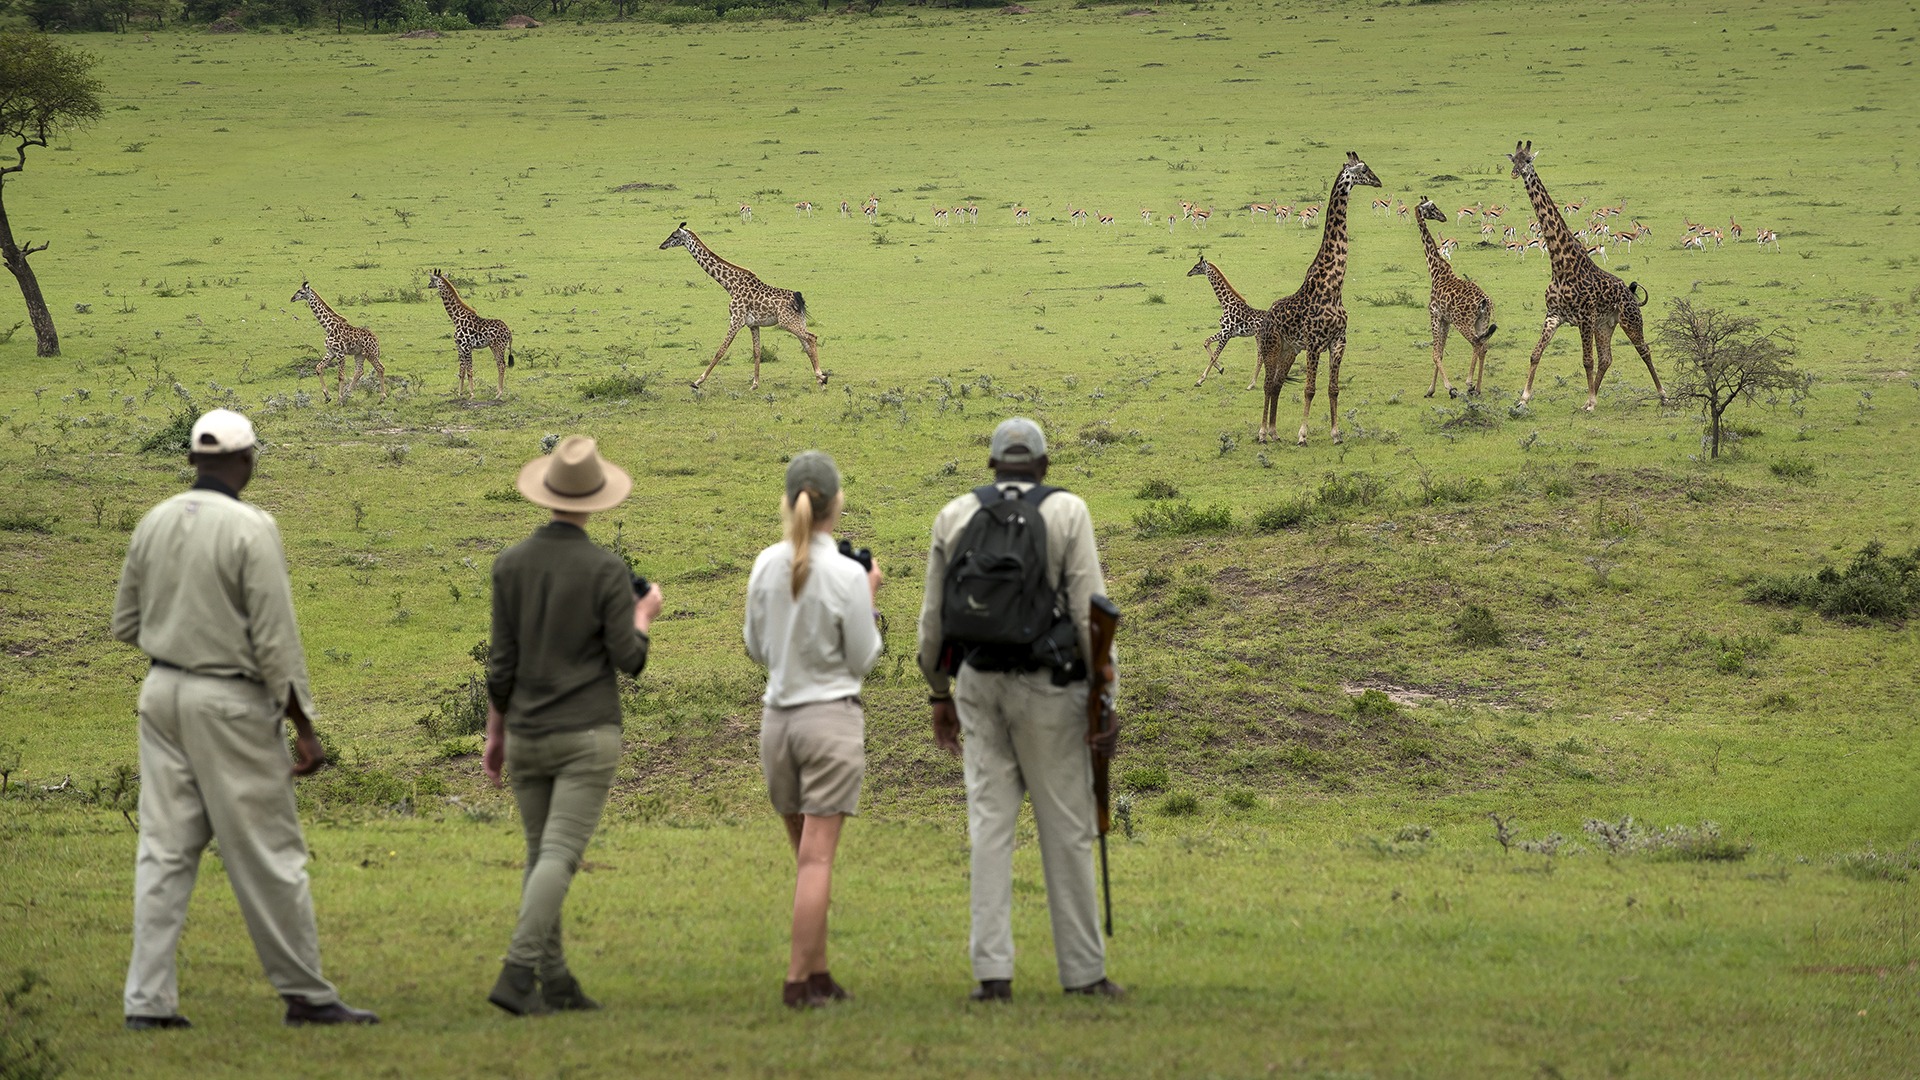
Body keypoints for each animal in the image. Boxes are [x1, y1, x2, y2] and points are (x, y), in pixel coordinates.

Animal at [428, 269, 514, 399]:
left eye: (432, 280)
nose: (428, 285)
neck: (456, 318)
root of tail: (508, 331)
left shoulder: (466, 347)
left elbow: (469, 370)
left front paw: (472, 394)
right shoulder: (459, 347)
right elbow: (461, 370)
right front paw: (460, 393)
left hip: (498, 346)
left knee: (501, 365)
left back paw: (499, 394)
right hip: (493, 346)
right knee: (500, 364)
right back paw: (498, 392)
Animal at [660, 220, 825, 388]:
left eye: (674, 236)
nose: (662, 245)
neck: (730, 285)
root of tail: (798, 297)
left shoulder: (736, 319)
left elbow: (721, 350)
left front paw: (698, 381)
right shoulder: (753, 324)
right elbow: (757, 352)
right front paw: (755, 384)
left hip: (787, 322)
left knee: (812, 338)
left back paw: (821, 376)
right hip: (798, 320)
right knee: (807, 344)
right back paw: (820, 379)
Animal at [1190, 251, 1267, 386]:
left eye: (1197, 267)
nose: (1188, 273)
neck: (1226, 303)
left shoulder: (1226, 333)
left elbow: (1215, 355)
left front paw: (1200, 380)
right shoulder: (1225, 331)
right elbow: (1206, 342)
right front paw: (1220, 369)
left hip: (1259, 336)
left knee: (1260, 356)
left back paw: (1252, 384)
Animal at [1413, 195, 1497, 397]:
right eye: (1432, 207)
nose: (1443, 217)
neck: (1435, 271)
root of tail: (1485, 301)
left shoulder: (1435, 315)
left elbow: (1435, 353)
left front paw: (1450, 388)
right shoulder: (1445, 320)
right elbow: (1441, 353)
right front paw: (1430, 390)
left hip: (1463, 322)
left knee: (1476, 343)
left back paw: (1469, 383)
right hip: (1482, 321)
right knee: (1484, 345)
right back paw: (1478, 388)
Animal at [1505, 141, 1674, 409]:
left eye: (1529, 160)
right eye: (1514, 160)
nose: (1515, 173)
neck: (1561, 265)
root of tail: (1631, 293)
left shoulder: (1584, 317)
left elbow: (1587, 360)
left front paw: (1592, 401)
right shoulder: (1554, 315)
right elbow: (1535, 354)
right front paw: (1524, 398)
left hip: (1629, 320)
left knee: (1644, 351)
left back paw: (1662, 394)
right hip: (1605, 324)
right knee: (1607, 358)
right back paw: (1591, 396)